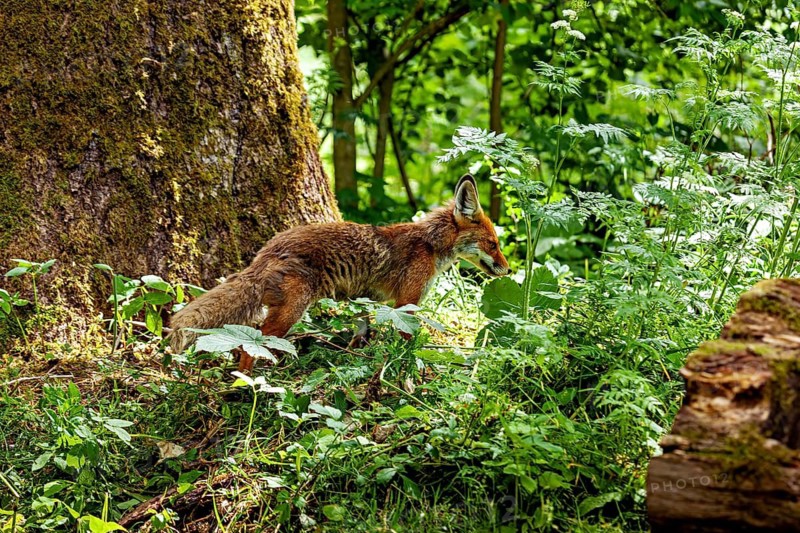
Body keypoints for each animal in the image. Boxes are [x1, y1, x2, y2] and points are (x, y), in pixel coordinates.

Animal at [169, 174, 510, 372]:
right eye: (493, 244)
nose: (508, 270)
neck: (430, 244)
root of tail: (268, 249)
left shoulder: (375, 303)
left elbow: (364, 331)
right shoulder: (406, 304)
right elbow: (409, 342)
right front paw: (415, 366)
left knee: (244, 342)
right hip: (291, 311)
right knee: (253, 344)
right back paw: (251, 384)